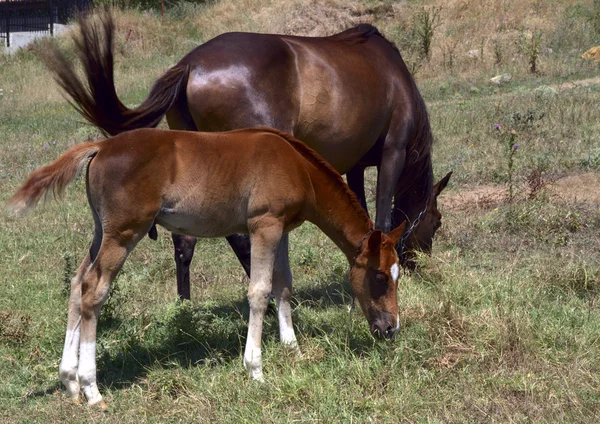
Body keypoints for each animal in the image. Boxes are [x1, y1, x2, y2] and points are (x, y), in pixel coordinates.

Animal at [10, 126, 408, 408]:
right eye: (378, 277)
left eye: (396, 275)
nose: (391, 328)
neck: (297, 166)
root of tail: (101, 147)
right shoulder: (264, 224)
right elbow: (259, 291)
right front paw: (255, 370)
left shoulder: (280, 227)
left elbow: (283, 284)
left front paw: (292, 348)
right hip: (123, 233)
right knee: (94, 291)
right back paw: (92, 389)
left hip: (100, 231)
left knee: (77, 284)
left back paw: (69, 379)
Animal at [44, 12, 450, 298]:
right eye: (437, 221)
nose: (419, 264)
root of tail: (190, 63)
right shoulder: (393, 152)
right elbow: (381, 212)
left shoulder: (354, 168)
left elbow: (362, 209)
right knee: (238, 238)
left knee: (185, 242)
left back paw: (185, 306)